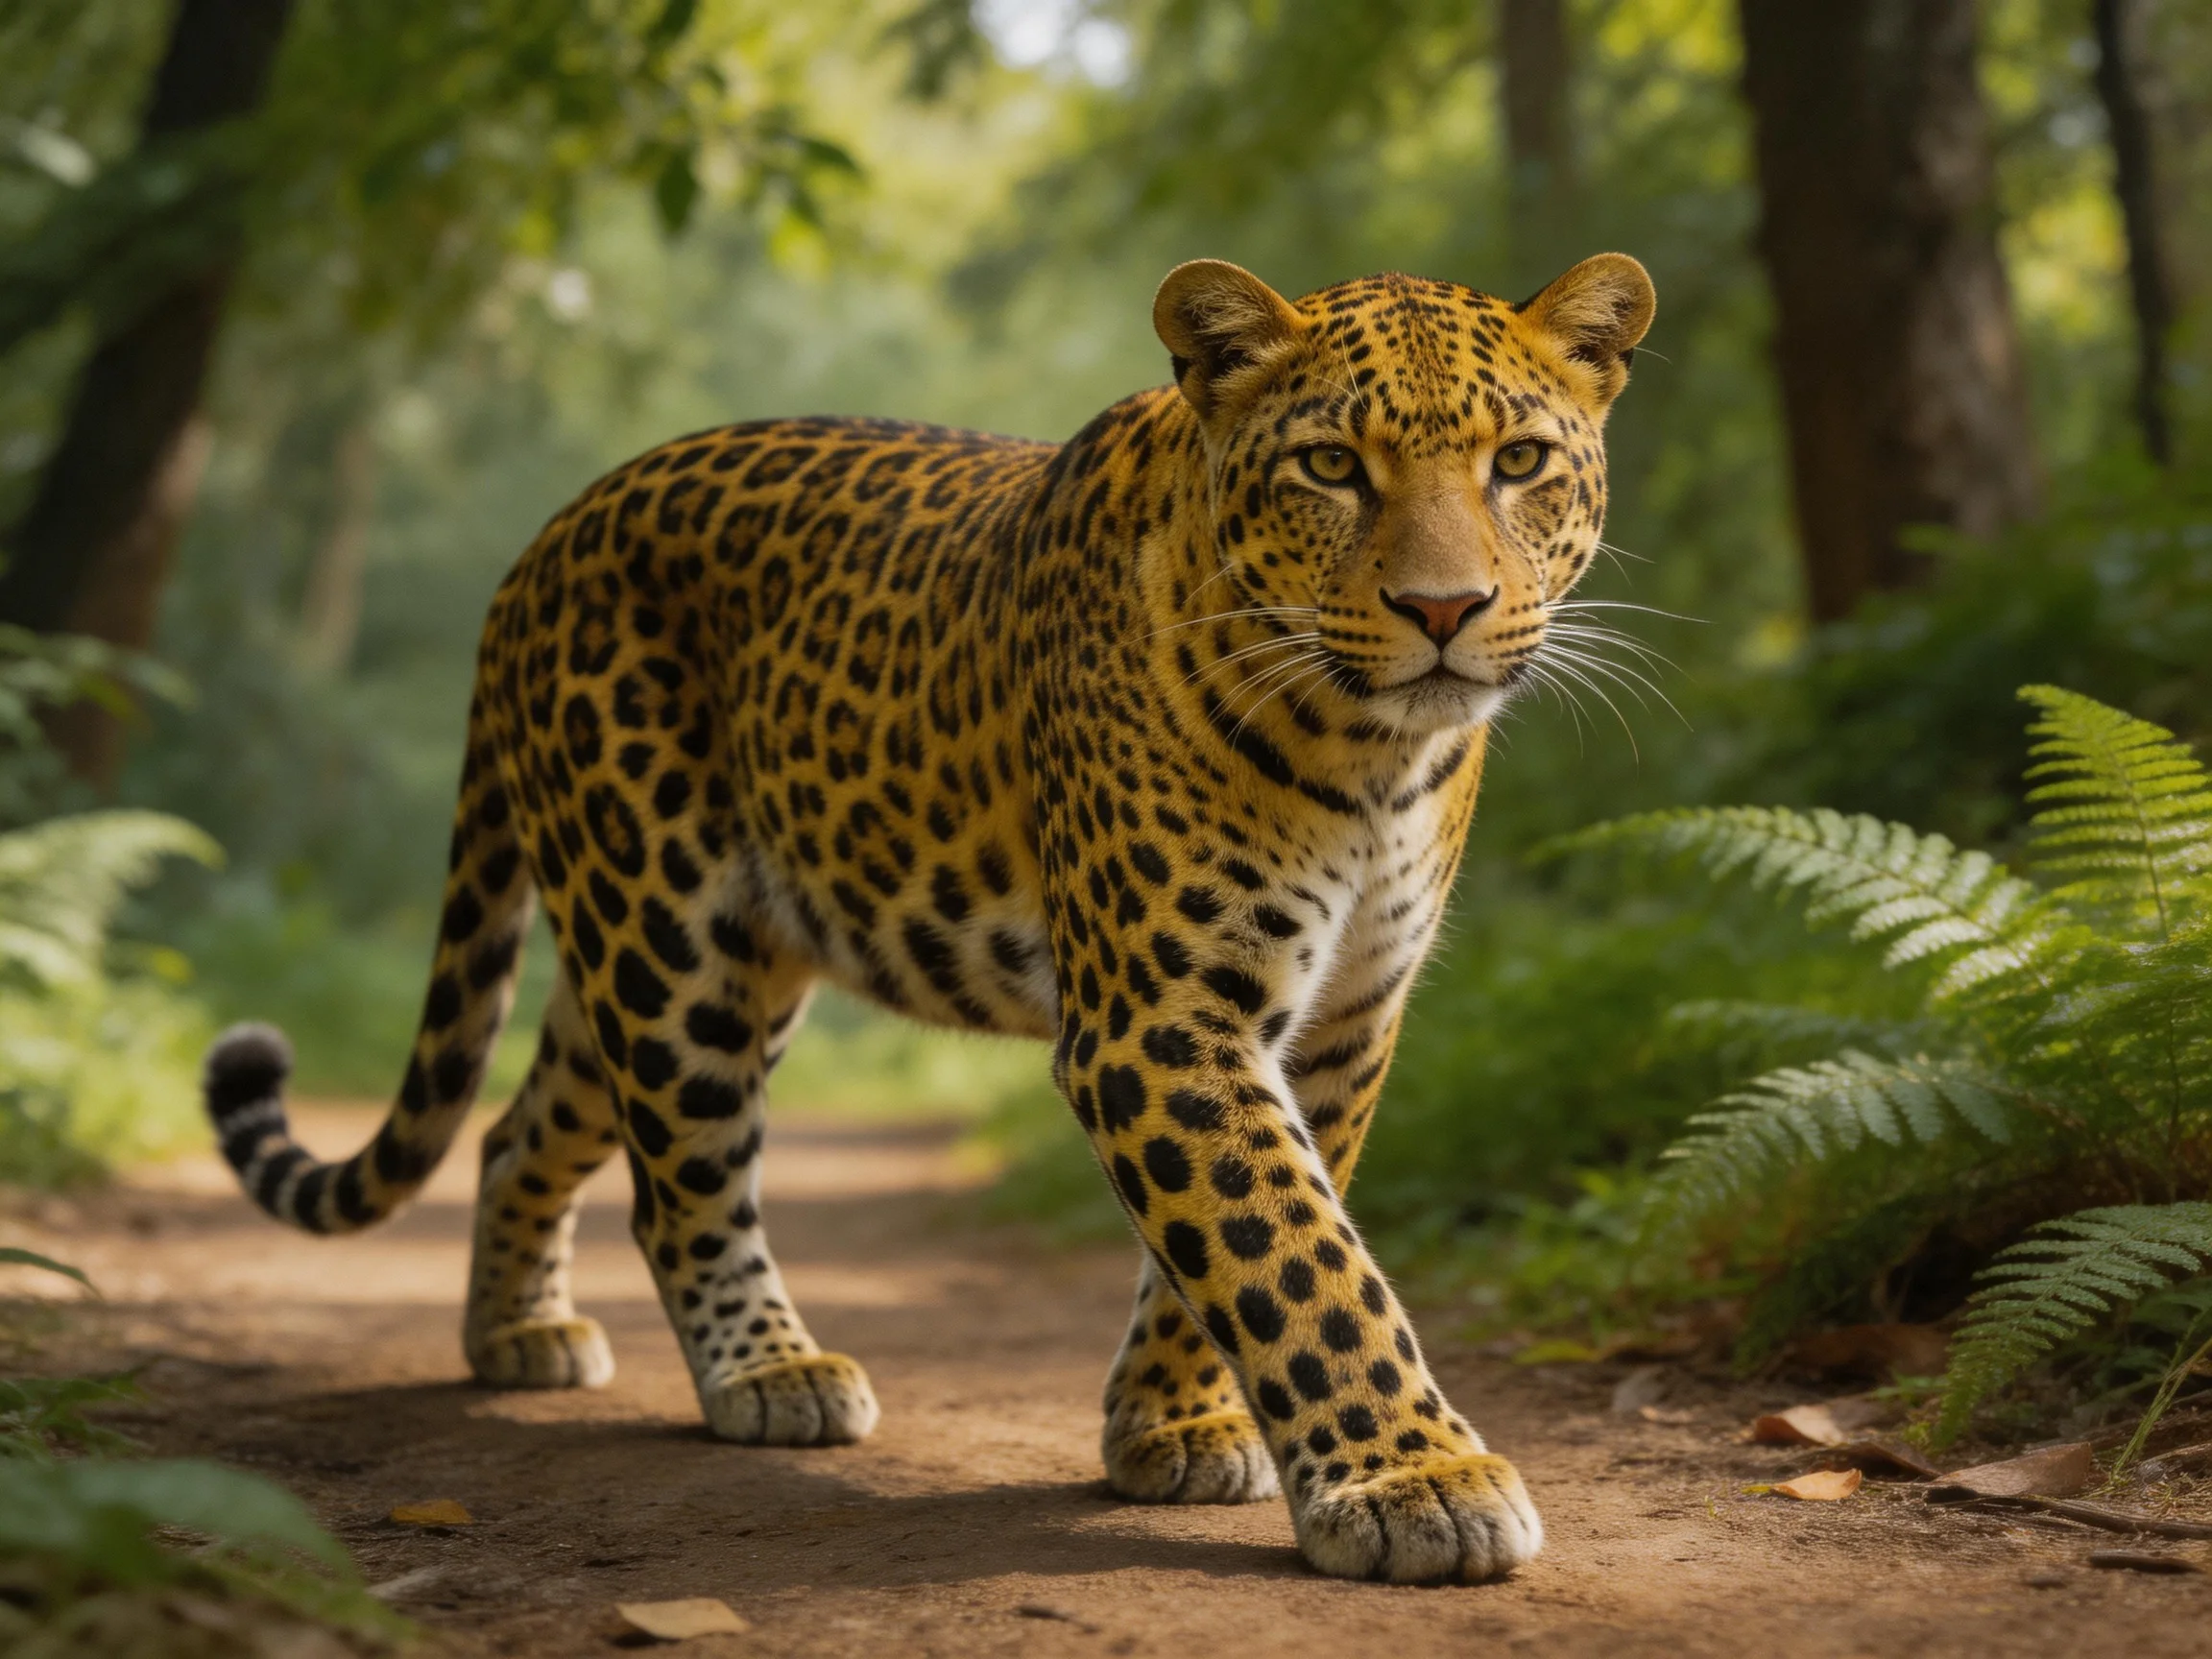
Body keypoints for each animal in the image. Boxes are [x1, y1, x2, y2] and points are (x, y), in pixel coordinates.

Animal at [202, 251, 1655, 1584]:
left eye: (1521, 460)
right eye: (1332, 467)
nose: (1443, 610)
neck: (1371, 759)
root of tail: (549, 534)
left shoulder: (1343, 1020)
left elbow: (1239, 1240)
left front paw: (1171, 1427)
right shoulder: (1158, 1017)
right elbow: (1297, 1256)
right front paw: (1420, 1480)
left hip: (695, 949)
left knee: (523, 1126)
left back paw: (516, 1337)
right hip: (669, 940)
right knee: (683, 1183)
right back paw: (771, 1373)